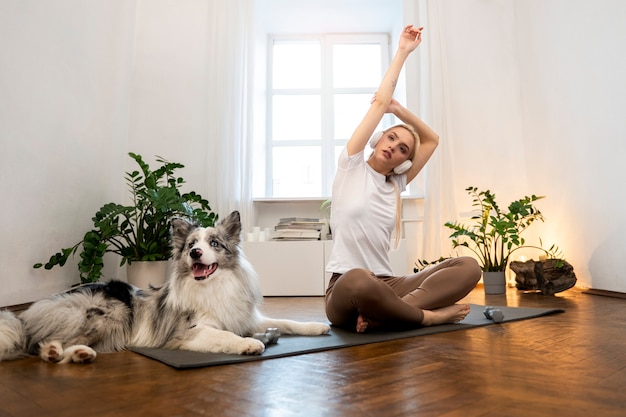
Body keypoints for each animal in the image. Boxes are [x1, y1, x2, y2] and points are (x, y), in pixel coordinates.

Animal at [0, 210, 332, 362]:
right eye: (191, 244)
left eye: (214, 243)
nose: (195, 253)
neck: (214, 286)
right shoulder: (188, 332)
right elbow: (223, 335)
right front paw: (249, 344)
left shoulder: (247, 318)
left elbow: (286, 321)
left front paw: (317, 326)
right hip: (111, 313)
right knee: (40, 343)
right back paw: (56, 351)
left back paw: (81, 354)